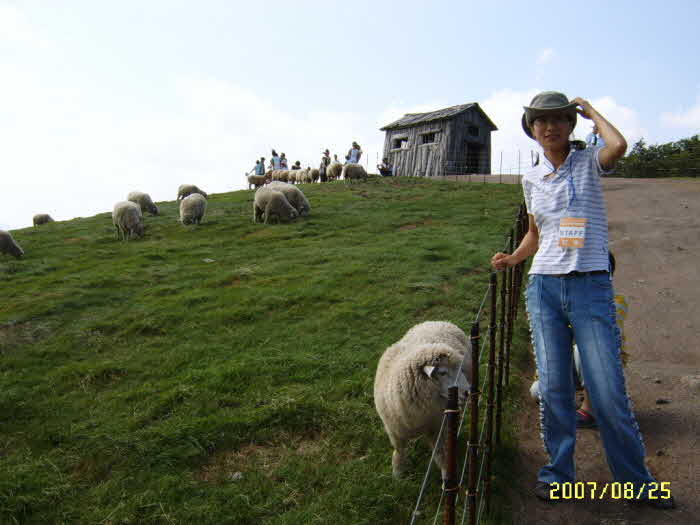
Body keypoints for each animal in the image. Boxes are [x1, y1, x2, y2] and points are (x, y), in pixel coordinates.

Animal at [374, 321, 472, 480]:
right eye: (442, 372)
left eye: (460, 369)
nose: (468, 392)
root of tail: (437, 321)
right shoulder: (394, 430)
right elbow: (399, 450)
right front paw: (397, 472)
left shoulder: (438, 428)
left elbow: (441, 453)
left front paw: (446, 476)